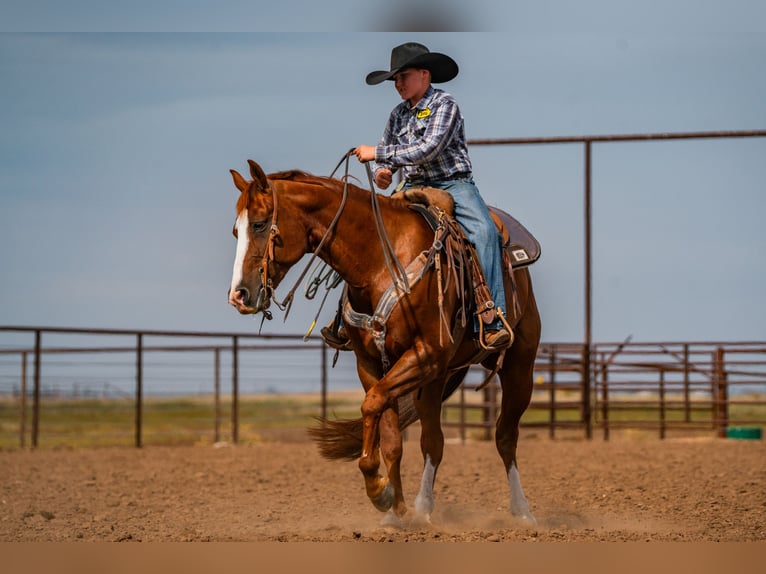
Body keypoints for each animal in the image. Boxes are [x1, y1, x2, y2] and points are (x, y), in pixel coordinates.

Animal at [227, 159, 541, 526]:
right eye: (236, 231)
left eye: (260, 224)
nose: (239, 295)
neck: (379, 261)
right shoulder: (374, 363)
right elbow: (391, 438)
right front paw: (396, 509)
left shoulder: (424, 354)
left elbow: (372, 404)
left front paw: (379, 490)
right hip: (436, 380)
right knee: (433, 441)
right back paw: (424, 508)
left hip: (519, 365)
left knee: (505, 436)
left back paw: (522, 512)